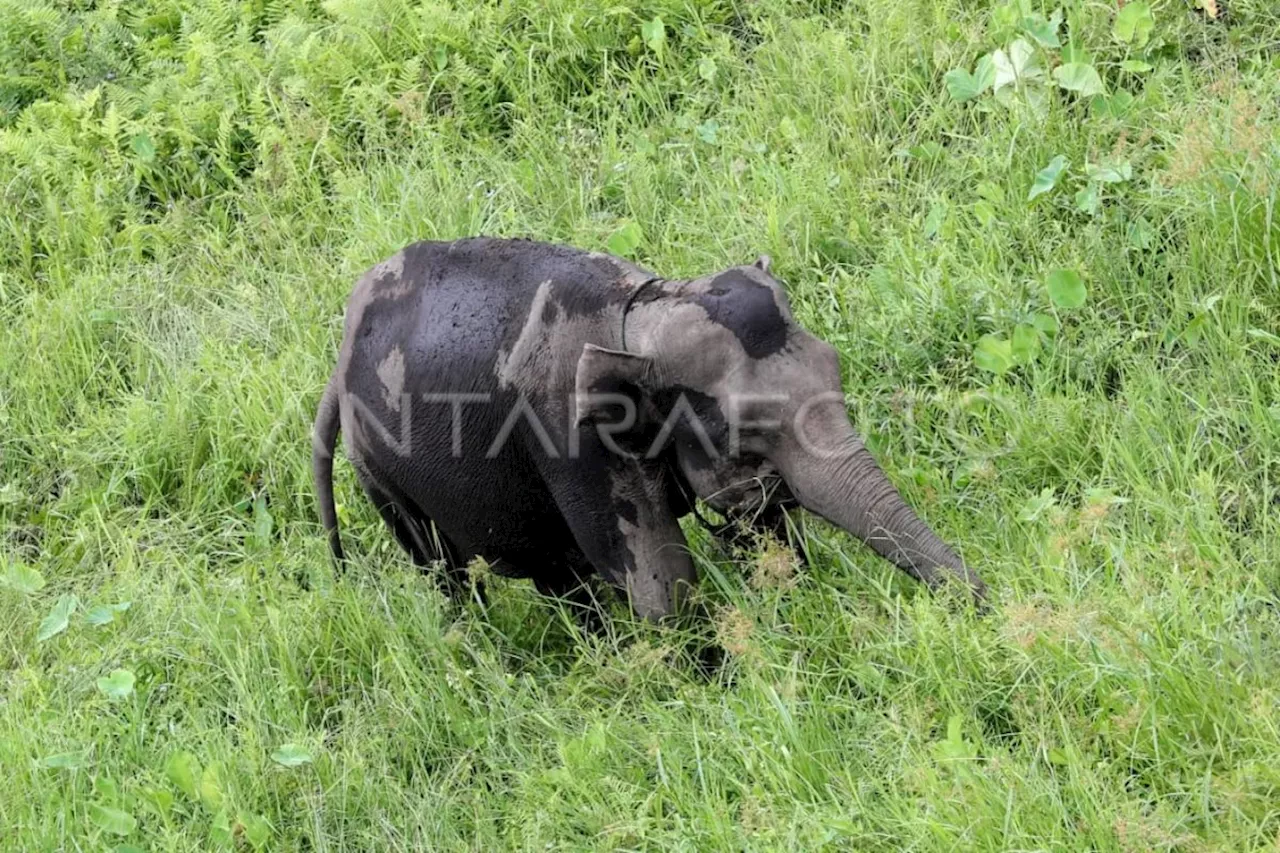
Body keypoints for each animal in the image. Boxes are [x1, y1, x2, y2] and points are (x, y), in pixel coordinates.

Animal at [312, 235, 988, 614]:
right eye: (748, 426)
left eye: (836, 367)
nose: (984, 603)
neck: (642, 310)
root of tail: (337, 362)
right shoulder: (573, 442)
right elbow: (662, 583)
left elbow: (765, 538)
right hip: (379, 474)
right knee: (444, 574)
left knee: (557, 573)